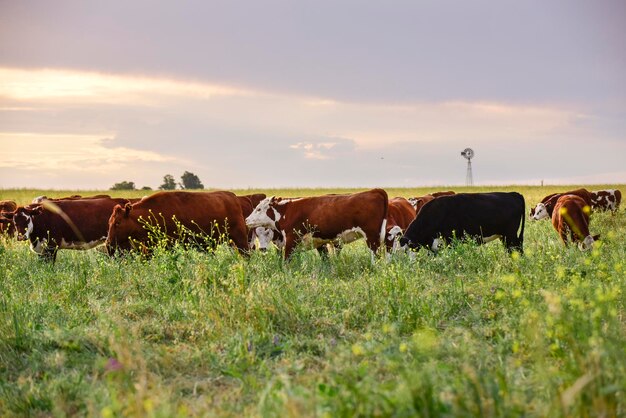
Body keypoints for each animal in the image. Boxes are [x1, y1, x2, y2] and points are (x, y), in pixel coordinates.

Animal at [243, 189, 386, 258]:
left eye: (259, 209)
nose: (246, 220)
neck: (288, 210)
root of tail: (375, 191)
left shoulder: (292, 238)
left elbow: (287, 260)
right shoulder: (318, 242)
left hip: (372, 237)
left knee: (376, 256)